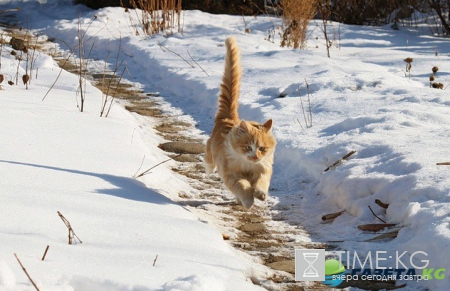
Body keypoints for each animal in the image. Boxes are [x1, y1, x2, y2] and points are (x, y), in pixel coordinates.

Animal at [205, 36, 276, 209]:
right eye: (247, 147)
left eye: (262, 148)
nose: (255, 156)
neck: (248, 166)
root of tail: (228, 119)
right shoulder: (231, 173)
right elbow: (242, 187)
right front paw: (248, 201)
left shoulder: (264, 168)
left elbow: (261, 183)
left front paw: (260, 194)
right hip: (211, 151)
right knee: (208, 159)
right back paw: (210, 170)